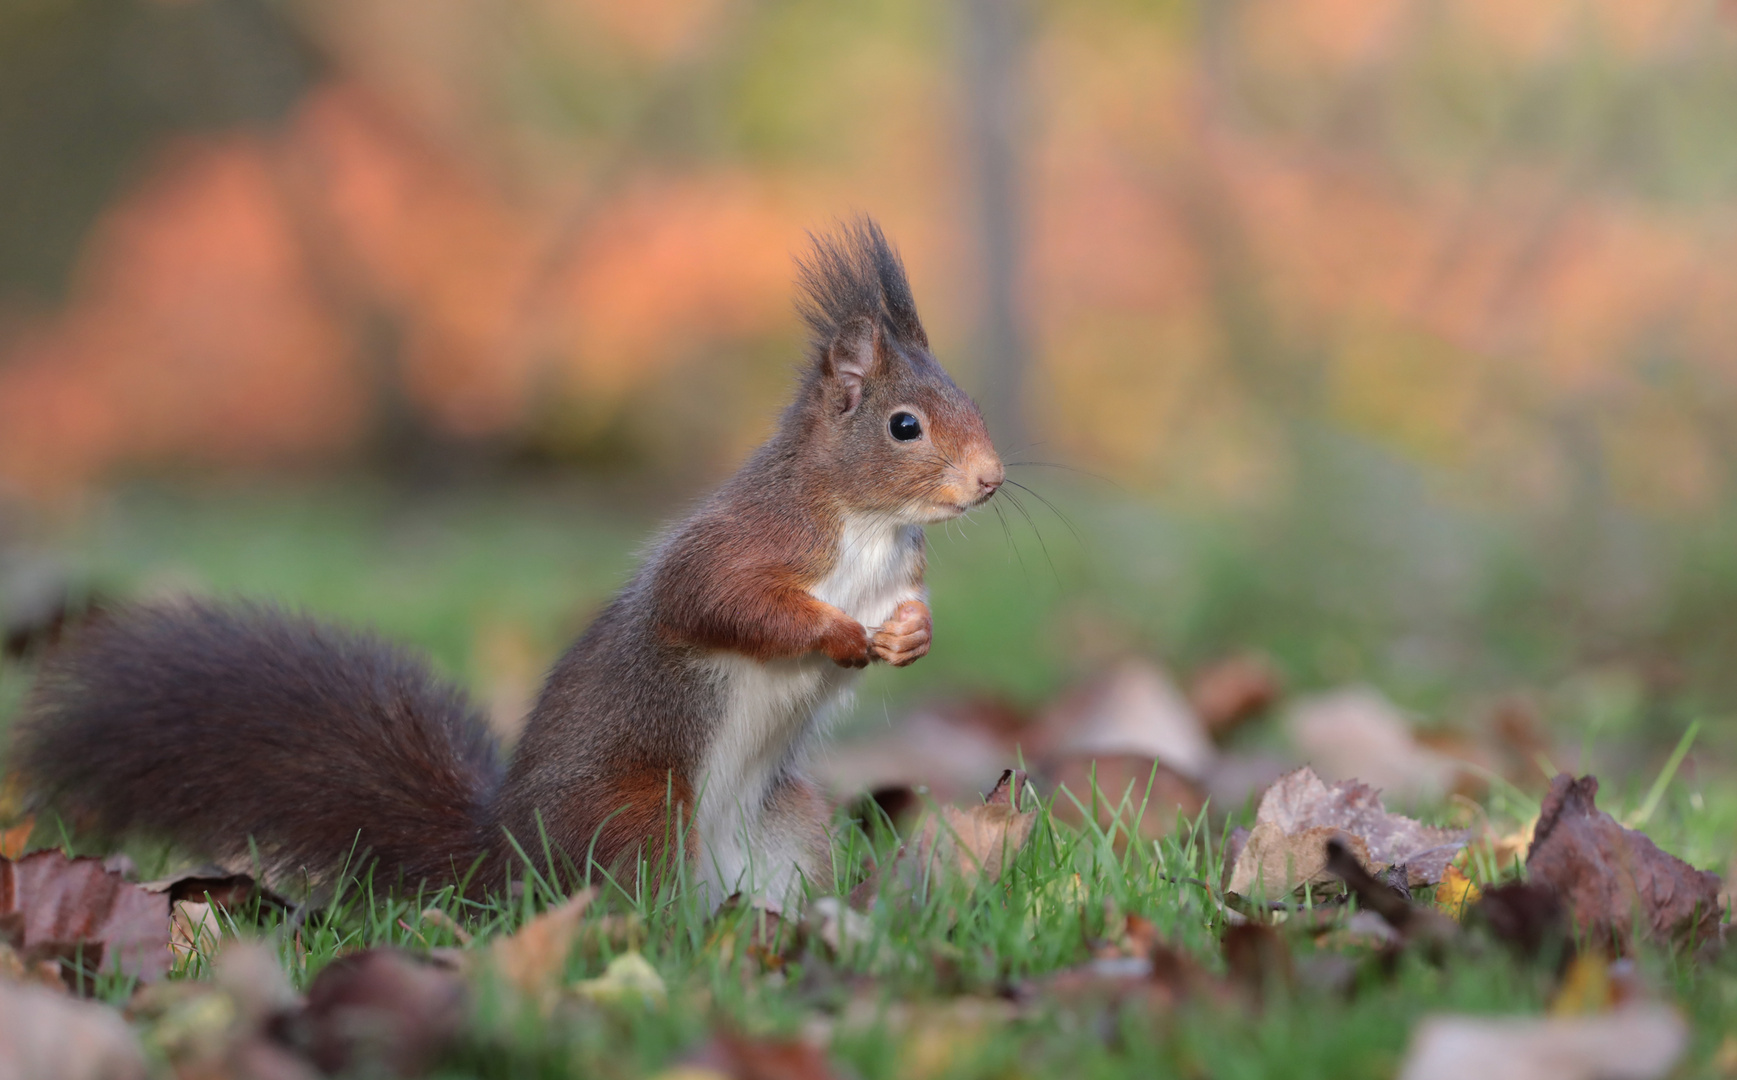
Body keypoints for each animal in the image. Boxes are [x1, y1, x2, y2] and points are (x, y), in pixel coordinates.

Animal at [10, 222, 1007, 916]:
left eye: (965, 397)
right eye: (905, 425)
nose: (992, 480)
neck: (868, 530)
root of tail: (507, 863)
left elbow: (905, 613)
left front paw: (909, 637)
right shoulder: (744, 542)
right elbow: (719, 602)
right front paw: (835, 634)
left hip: (786, 824)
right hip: (640, 813)